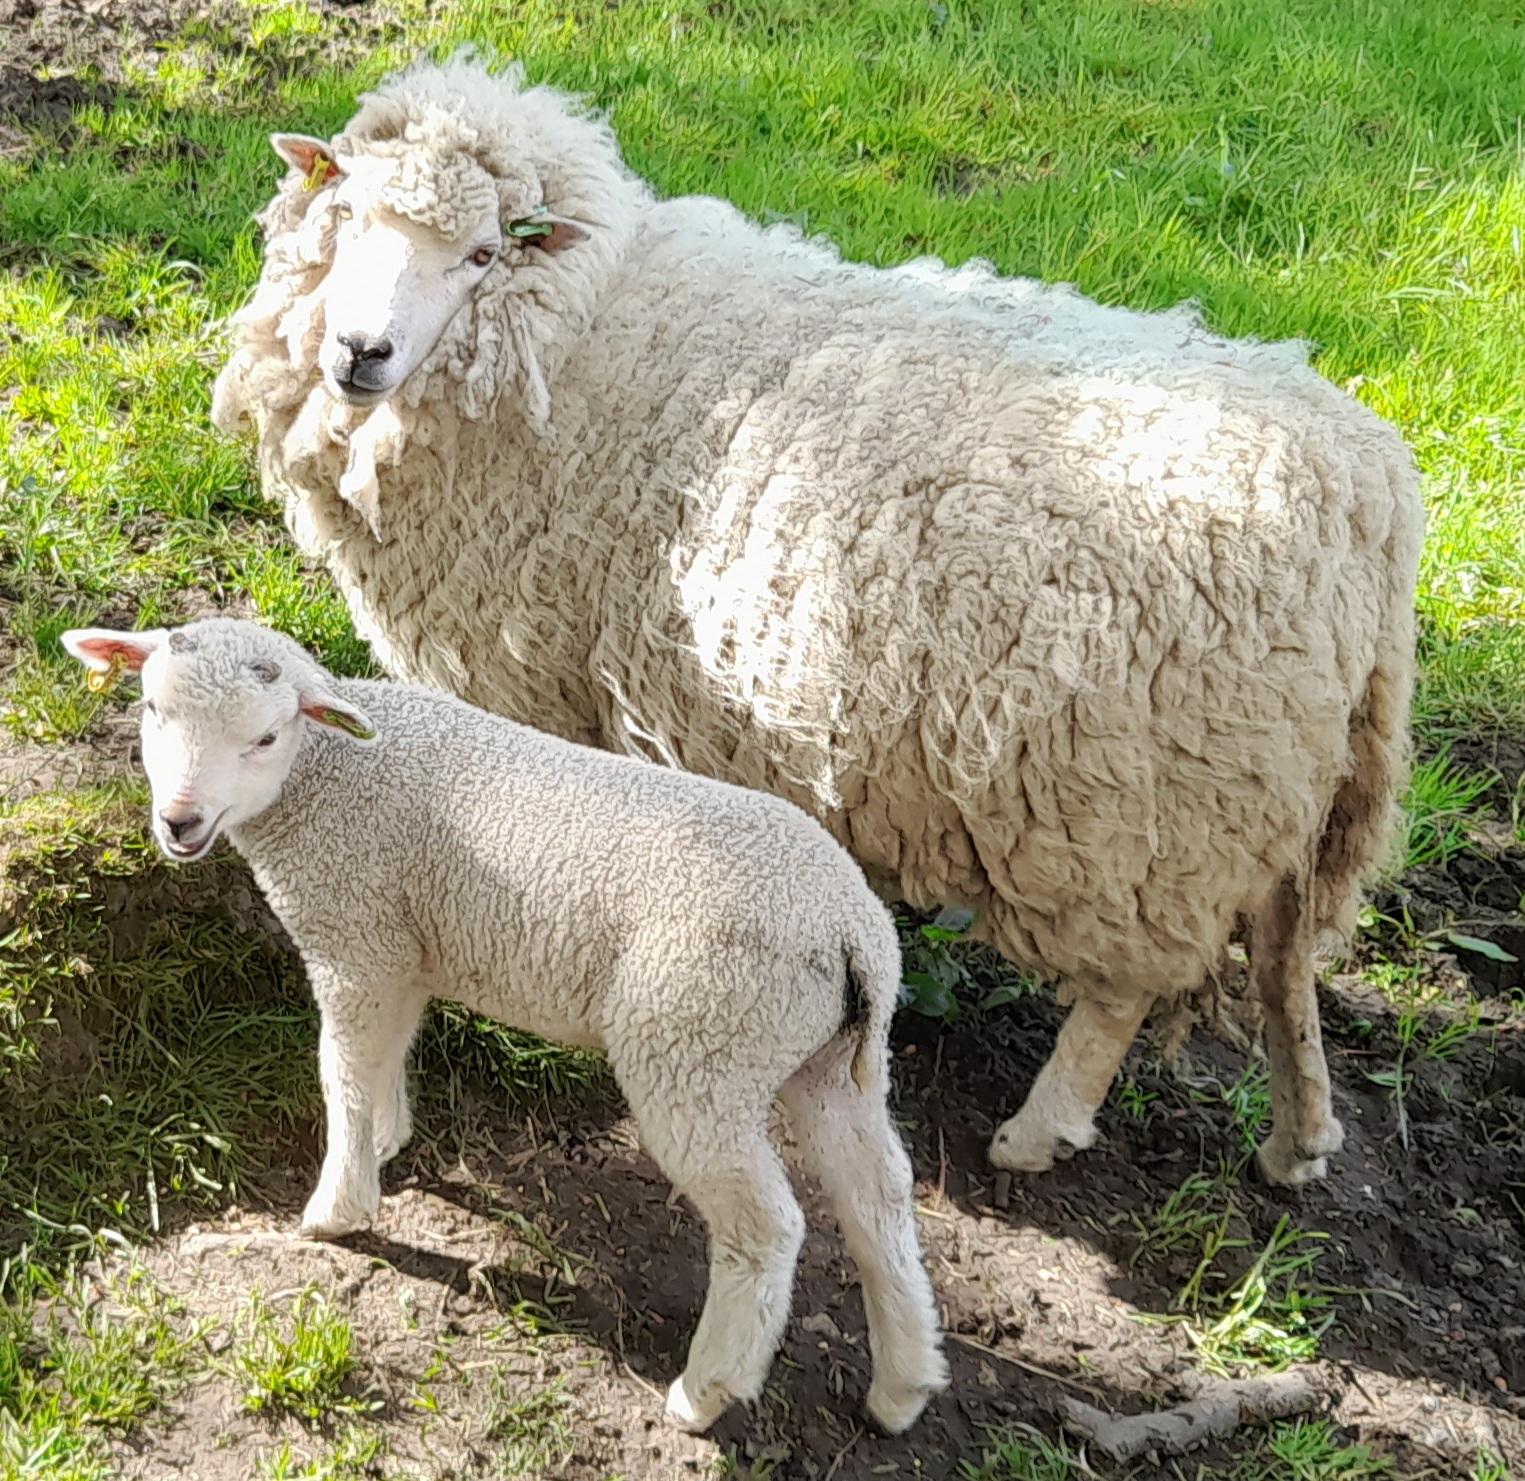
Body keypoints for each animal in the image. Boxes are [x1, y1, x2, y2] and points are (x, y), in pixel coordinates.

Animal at [60, 616, 951, 1436]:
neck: (331, 774)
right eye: (151, 708)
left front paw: (338, 1205)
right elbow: (385, 1055)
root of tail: (851, 929)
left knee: (766, 1228)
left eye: (266, 736)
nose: (179, 822)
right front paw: (388, 1138)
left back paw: (705, 1393)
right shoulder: (399, 947)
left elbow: (340, 1072)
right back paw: (902, 1385)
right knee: (878, 1198)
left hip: (699, 1043)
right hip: (826, 1059)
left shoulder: (354, 935)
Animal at [211, 52, 1426, 1188]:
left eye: (477, 255)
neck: (585, 329)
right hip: (1280, 787)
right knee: (1284, 961)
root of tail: (1369, 502)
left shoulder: (517, 677)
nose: (358, 352)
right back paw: (1299, 1137)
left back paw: (1038, 1131)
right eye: (350, 216)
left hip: (1139, 814)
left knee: (1127, 988)